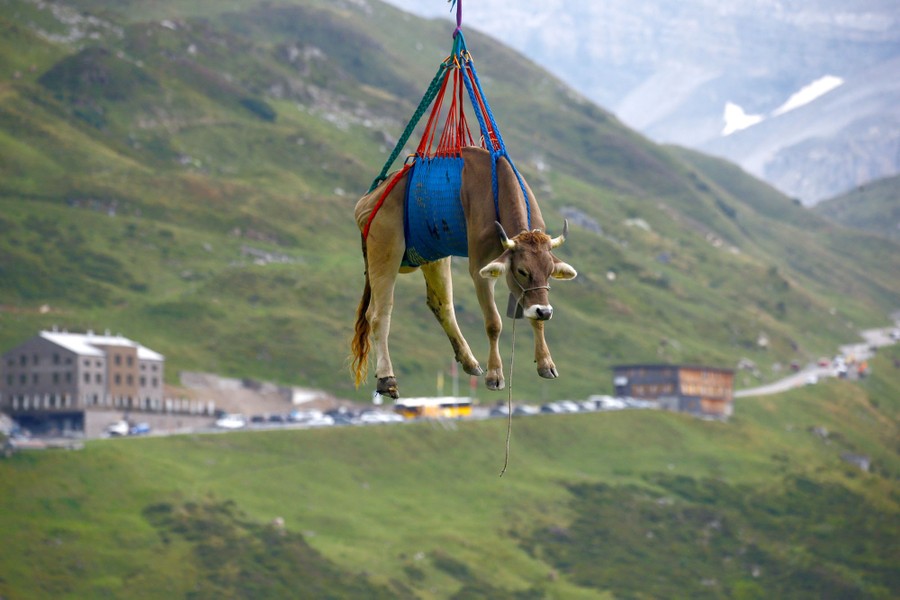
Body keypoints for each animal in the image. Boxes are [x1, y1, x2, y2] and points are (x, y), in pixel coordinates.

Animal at [351, 146, 577, 399]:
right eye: (521, 270)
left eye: (549, 271)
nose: (545, 311)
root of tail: (369, 199)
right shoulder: (480, 268)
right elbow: (493, 323)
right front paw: (495, 375)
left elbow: (535, 319)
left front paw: (546, 363)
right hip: (385, 248)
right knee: (378, 314)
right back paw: (387, 379)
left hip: (434, 254)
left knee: (442, 306)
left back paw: (469, 361)